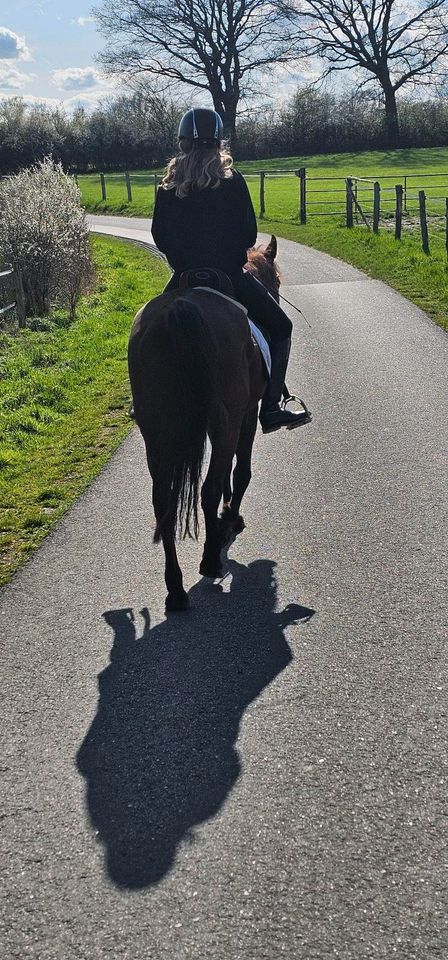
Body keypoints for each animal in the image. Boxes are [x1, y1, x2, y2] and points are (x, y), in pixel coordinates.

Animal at [128, 237, 278, 612]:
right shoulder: (246, 413)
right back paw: (210, 559)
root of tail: (181, 309)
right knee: (207, 489)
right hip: (225, 418)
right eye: (274, 280)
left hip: (156, 432)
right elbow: (240, 471)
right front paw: (231, 518)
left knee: (163, 503)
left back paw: (176, 588)